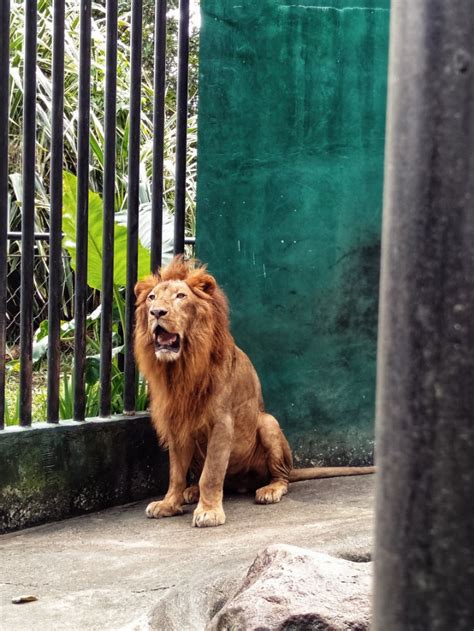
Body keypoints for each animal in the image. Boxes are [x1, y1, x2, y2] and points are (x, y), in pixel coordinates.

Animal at [133, 256, 374, 528]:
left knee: (281, 477)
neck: (181, 368)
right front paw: (168, 504)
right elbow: (176, 473)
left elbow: (211, 473)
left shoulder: (222, 423)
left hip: (267, 423)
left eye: (181, 296)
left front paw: (209, 512)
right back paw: (191, 491)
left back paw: (269, 490)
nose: (156, 313)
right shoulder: (178, 423)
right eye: (152, 298)